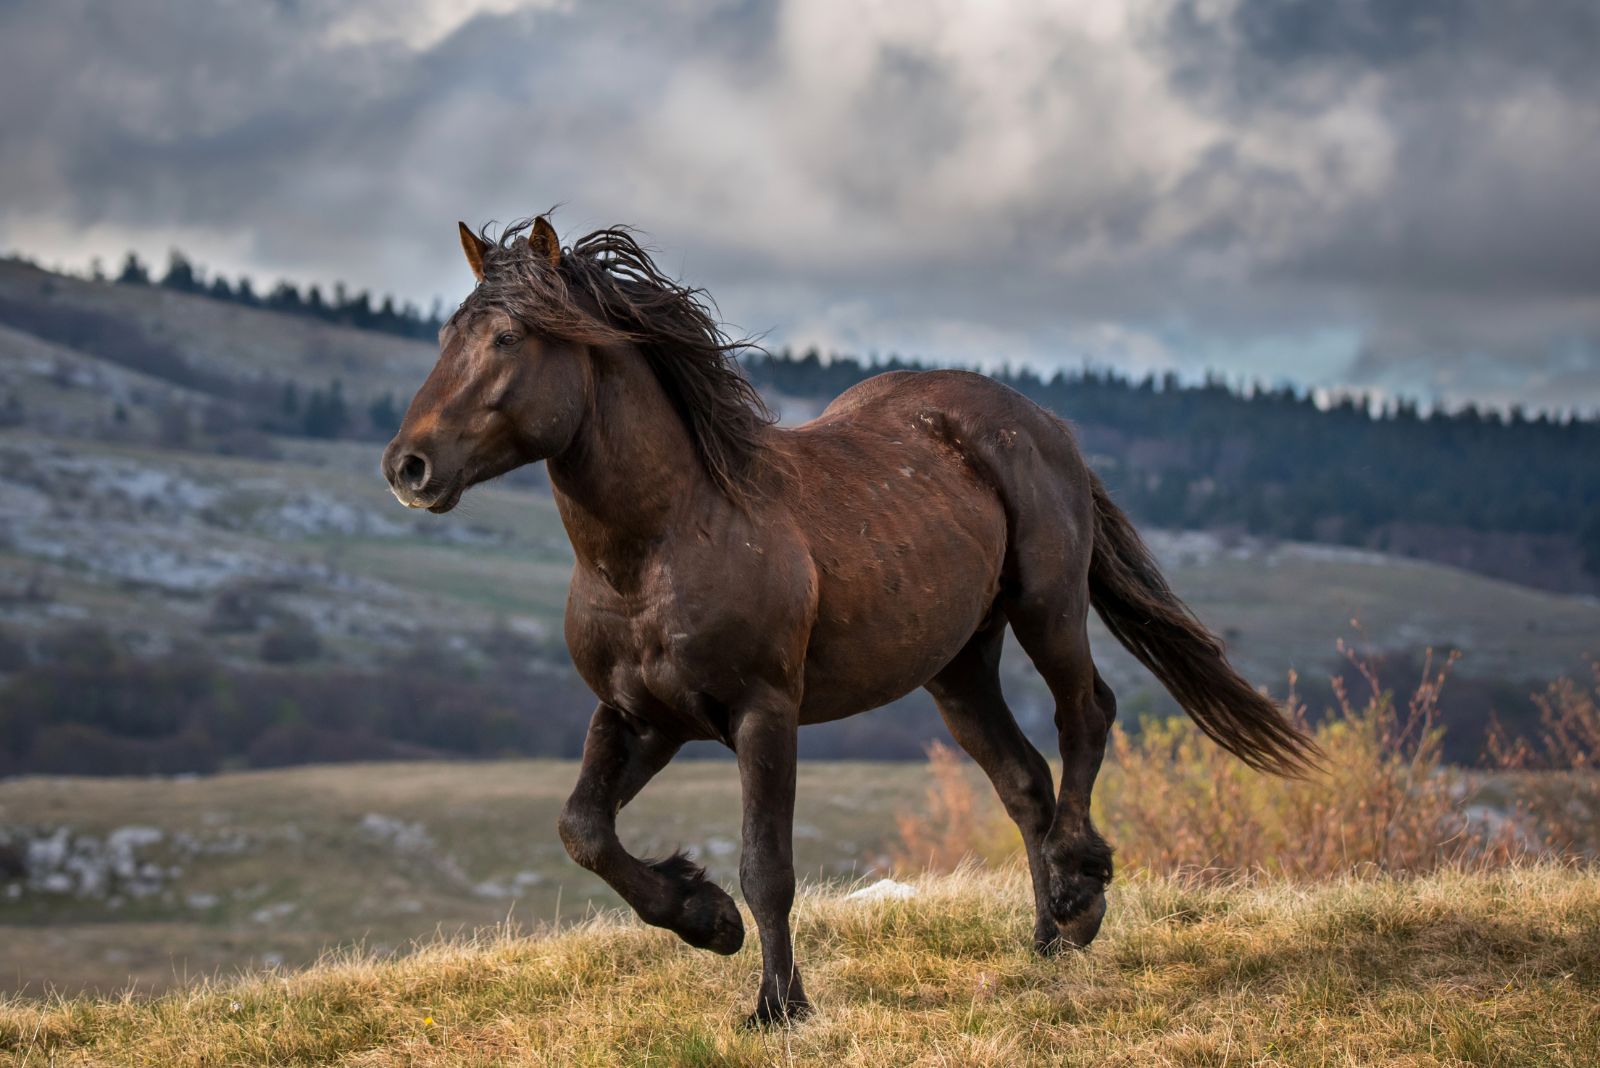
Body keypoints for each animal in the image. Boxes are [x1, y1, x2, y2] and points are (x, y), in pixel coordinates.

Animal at [380, 214, 1318, 1023]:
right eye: (447, 337)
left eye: (508, 337)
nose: (407, 467)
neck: (660, 542)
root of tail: (1044, 424)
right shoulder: (641, 716)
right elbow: (584, 830)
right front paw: (703, 916)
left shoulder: (764, 712)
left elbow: (768, 867)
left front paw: (778, 1007)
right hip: (958, 668)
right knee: (1023, 781)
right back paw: (1047, 938)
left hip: (1048, 608)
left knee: (1086, 715)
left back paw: (1079, 894)